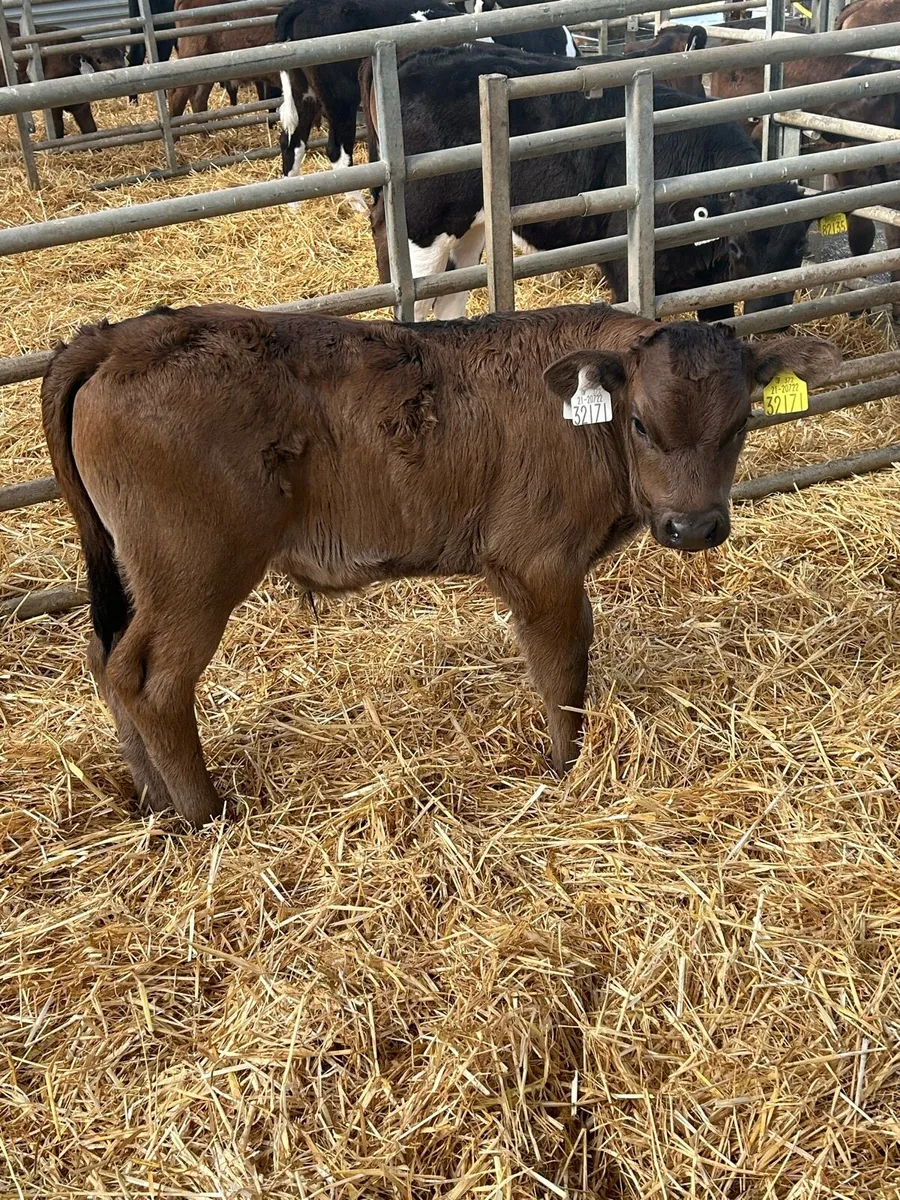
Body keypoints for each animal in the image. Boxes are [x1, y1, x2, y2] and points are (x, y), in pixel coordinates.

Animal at [41, 301, 839, 825]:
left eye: (741, 423)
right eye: (640, 423)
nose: (692, 525)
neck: (582, 422)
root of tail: (117, 338)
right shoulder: (537, 563)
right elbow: (563, 666)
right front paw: (564, 770)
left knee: (105, 660)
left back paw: (154, 803)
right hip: (193, 576)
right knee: (150, 682)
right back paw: (208, 814)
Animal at [275, 0, 462, 214]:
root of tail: (304, 5)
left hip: (304, 92)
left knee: (292, 142)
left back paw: (294, 206)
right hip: (340, 97)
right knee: (336, 150)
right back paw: (359, 206)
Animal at [365, 45, 810, 322]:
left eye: (799, 249)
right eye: (737, 246)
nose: (772, 317)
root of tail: (421, 60)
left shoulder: (713, 286)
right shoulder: (625, 270)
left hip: (468, 227)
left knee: (449, 299)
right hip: (425, 224)